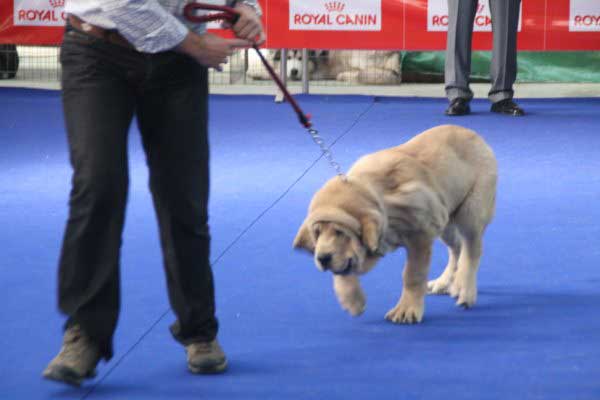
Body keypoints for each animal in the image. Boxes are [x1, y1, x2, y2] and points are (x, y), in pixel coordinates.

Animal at [292, 126, 496, 324]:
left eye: (340, 232)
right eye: (317, 233)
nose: (322, 258)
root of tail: (473, 134)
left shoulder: (420, 234)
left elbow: (412, 274)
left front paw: (407, 310)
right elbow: (344, 269)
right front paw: (351, 298)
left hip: (471, 212)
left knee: (471, 250)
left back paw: (465, 289)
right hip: (446, 220)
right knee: (457, 248)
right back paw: (445, 282)